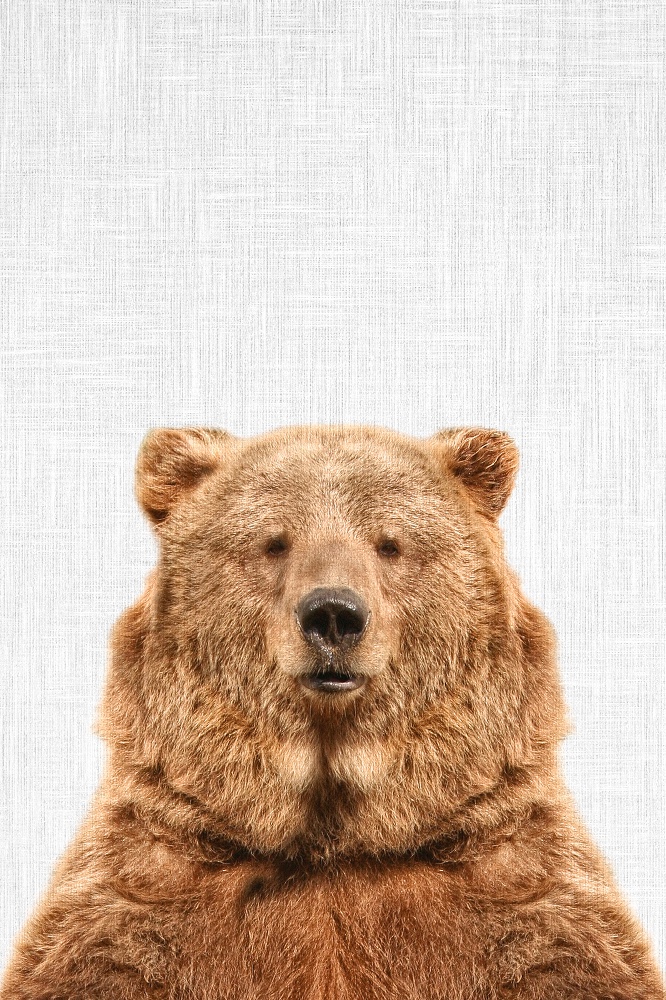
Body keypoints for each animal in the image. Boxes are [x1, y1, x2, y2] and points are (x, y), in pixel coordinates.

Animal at [1, 423, 663, 1000]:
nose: (333, 615)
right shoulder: (150, 880)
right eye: (274, 542)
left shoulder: (513, 879)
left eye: (389, 543)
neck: (335, 834)